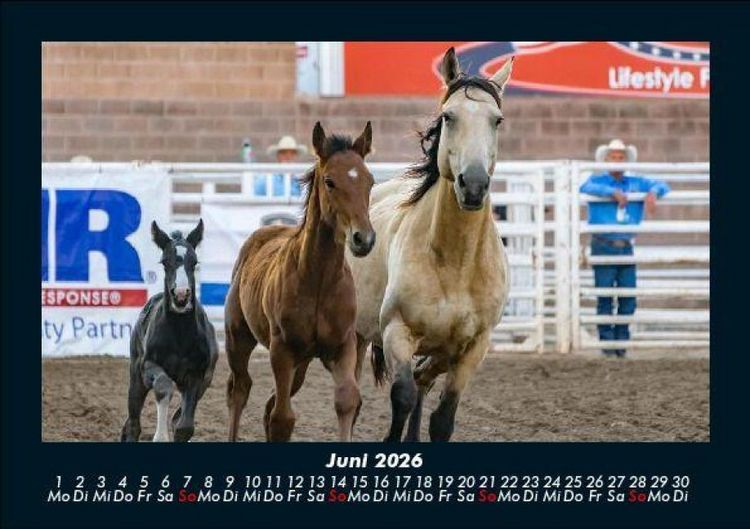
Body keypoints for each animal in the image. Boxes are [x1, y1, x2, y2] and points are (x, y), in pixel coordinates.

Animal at [121, 219, 218, 442]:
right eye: (165, 262)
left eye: (194, 262)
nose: (181, 296)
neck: (179, 335)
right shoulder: (148, 366)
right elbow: (163, 386)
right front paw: (160, 436)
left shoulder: (197, 375)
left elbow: (184, 426)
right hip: (136, 378)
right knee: (132, 424)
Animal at [225, 121, 375, 442]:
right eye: (330, 181)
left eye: (369, 181)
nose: (364, 238)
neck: (319, 280)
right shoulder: (282, 350)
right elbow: (283, 418)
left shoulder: (343, 346)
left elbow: (347, 400)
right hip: (238, 339)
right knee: (240, 389)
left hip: (302, 364)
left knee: (268, 404)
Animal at [346, 47, 513, 442]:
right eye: (449, 117)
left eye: (497, 121)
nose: (474, 184)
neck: (455, 262)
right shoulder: (397, 332)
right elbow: (402, 396)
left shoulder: (473, 348)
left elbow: (443, 418)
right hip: (357, 335)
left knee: (424, 378)